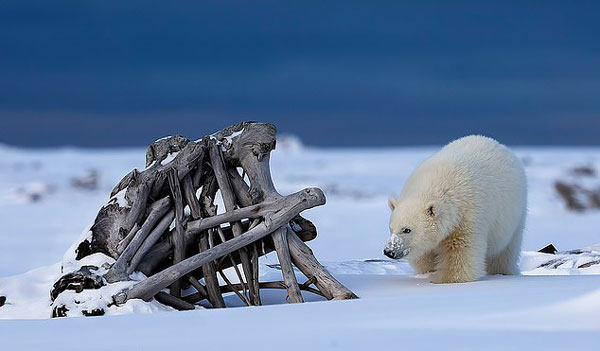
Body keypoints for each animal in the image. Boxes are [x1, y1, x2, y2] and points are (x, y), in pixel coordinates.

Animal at [384, 135, 524, 284]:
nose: (389, 251)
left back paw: (502, 271)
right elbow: (425, 254)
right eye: (391, 228)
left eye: (407, 230)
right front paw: (429, 271)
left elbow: (460, 251)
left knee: (504, 251)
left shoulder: (467, 217)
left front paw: (445, 279)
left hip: (513, 216)